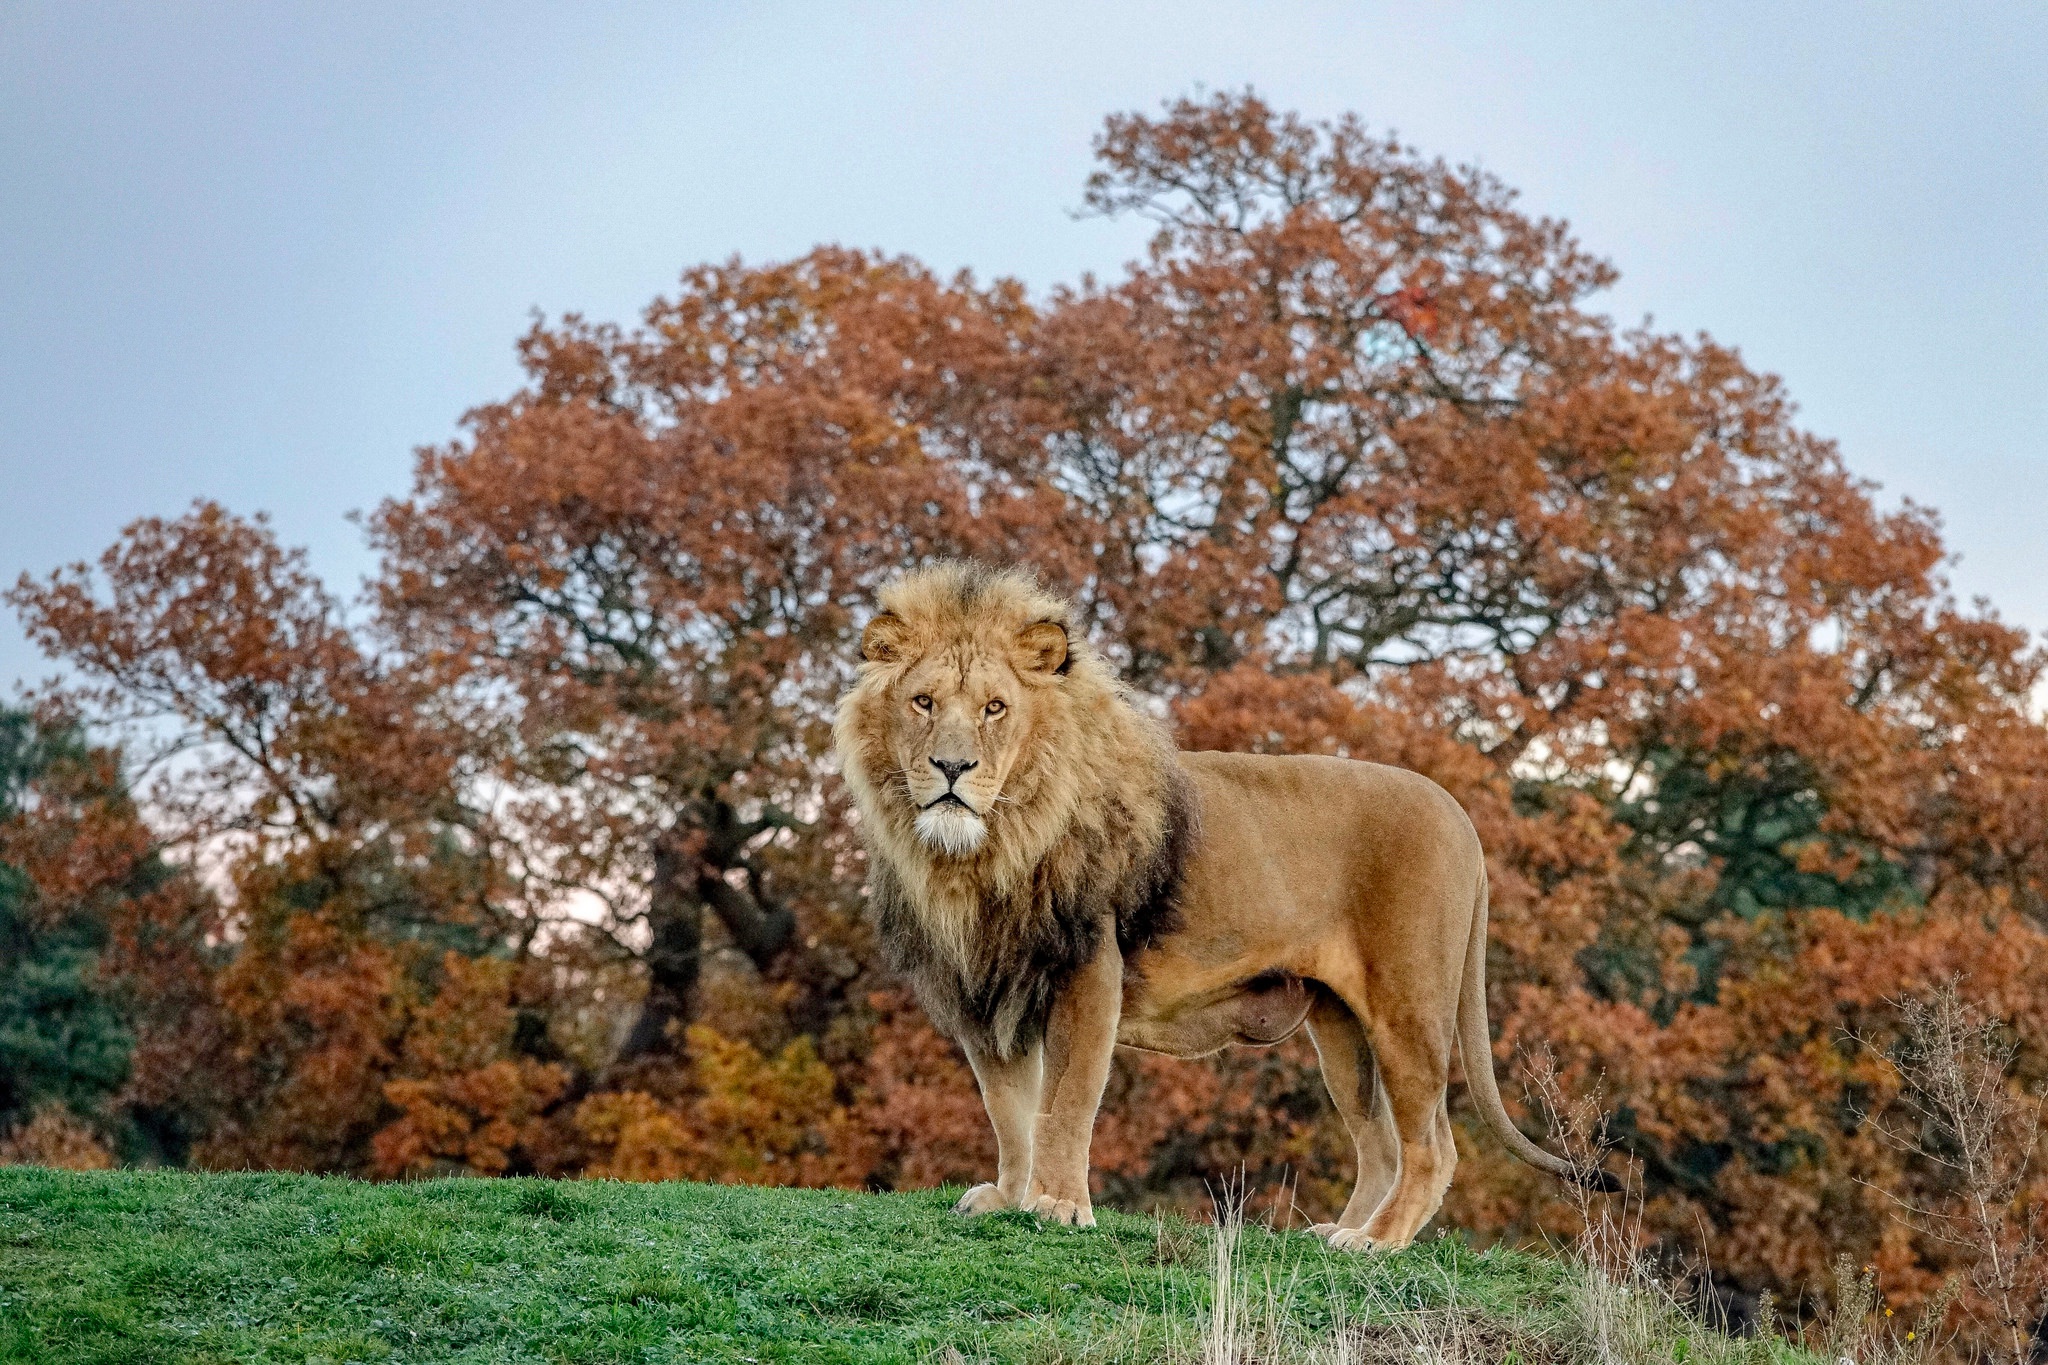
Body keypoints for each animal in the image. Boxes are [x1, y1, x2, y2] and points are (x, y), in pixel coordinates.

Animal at [831, 564, 1613, 1252]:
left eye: (995, 708)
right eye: (924, 703)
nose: (952, 769)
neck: (983, 851)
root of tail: (1461, 815)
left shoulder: (1086, 970)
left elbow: (1066, 1102)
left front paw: (1057, 1205)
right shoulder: (985, 988)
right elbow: (1009, 1110)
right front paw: (1009, 1196)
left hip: (1408, 1005)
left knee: (1434, 1147)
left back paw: (1377, 1243)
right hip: (1340, 1028)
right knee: (1383, 1145)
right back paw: (1340, 1234)